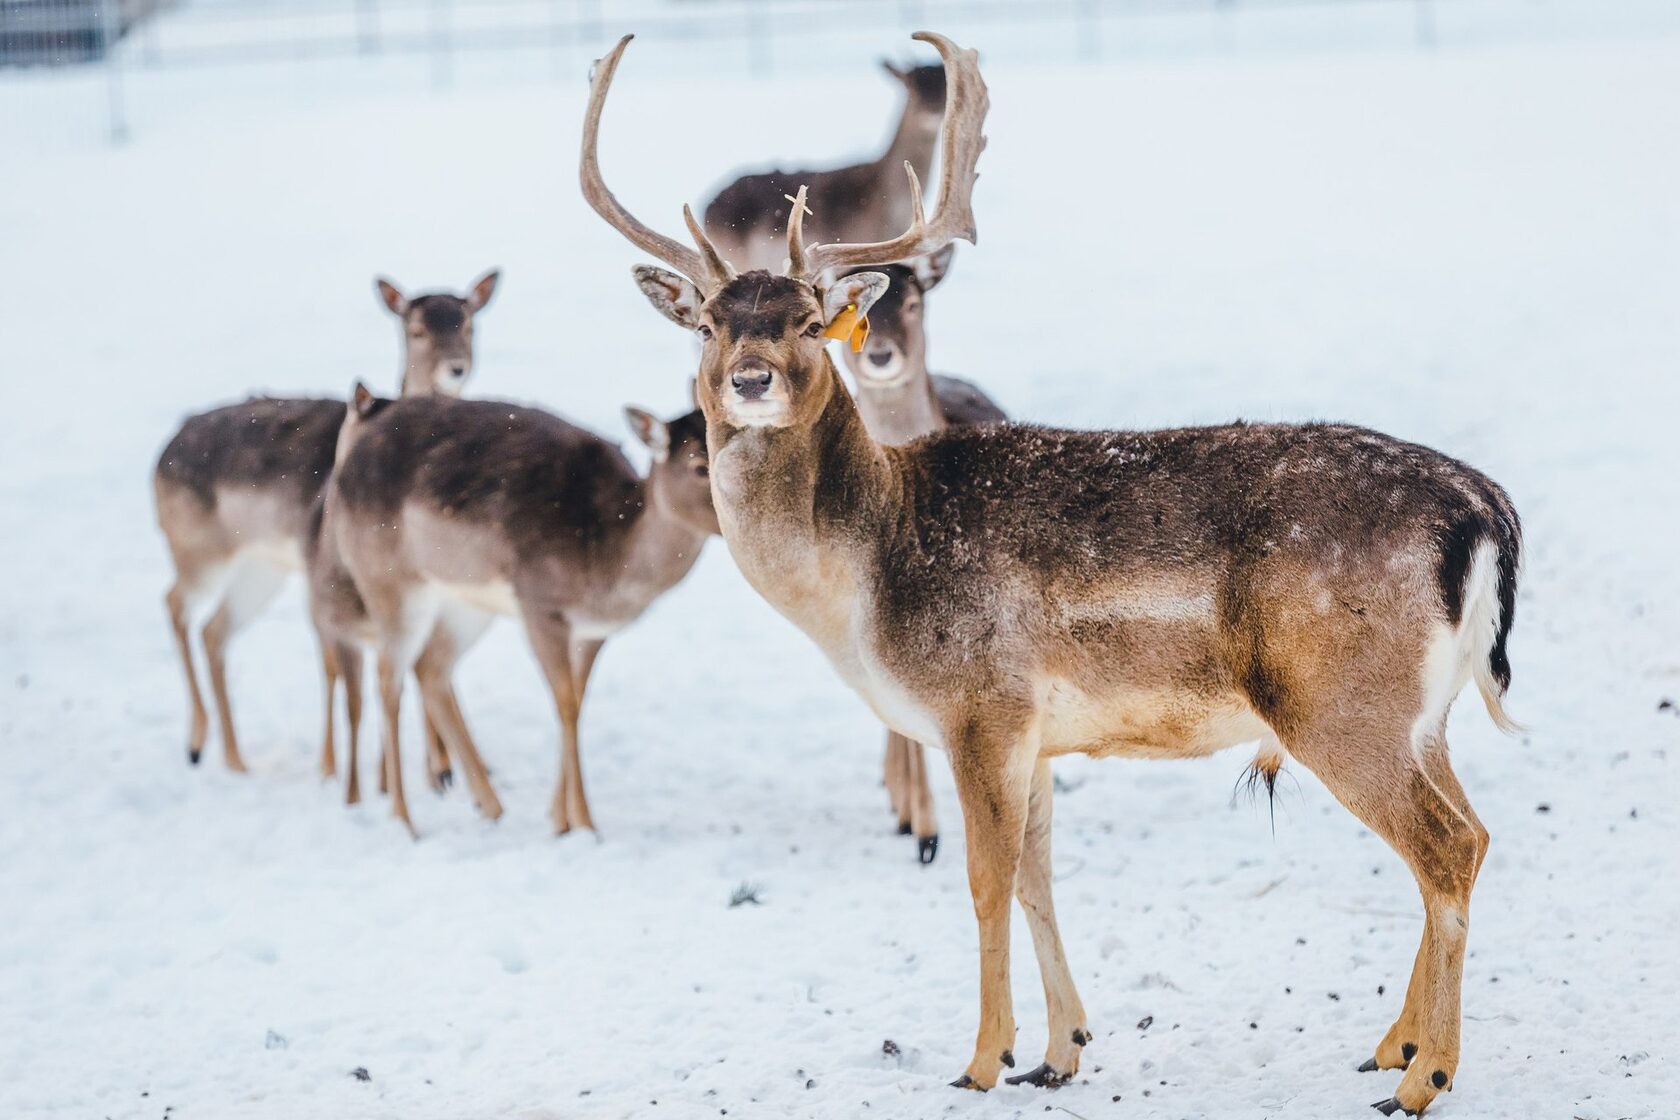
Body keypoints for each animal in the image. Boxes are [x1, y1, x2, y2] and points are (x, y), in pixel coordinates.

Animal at [155, 272, 497, 779]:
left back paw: (236, 759)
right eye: (415, 329)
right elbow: (345, 662)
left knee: (213, 630)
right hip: (199, 551)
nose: (455, 368)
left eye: (470, 324)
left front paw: (445, 769)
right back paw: (198, 745)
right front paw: (351, 769)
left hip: (260, 570)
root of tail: (160, 457)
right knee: (176, 604)